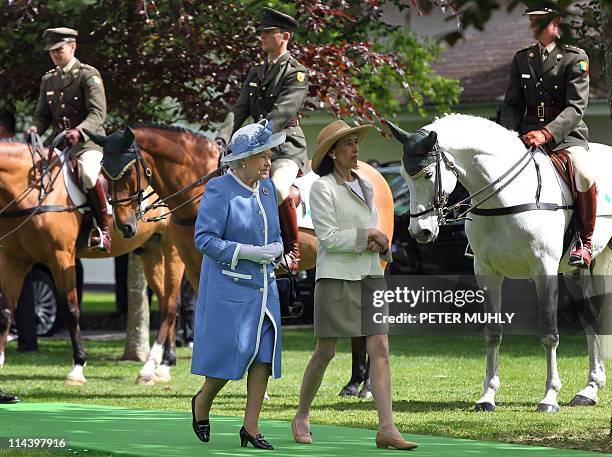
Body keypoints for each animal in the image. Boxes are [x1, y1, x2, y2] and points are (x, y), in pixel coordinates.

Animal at [0, 142, 184, 384]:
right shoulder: (14, 260)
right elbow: (6, 311)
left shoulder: (61, 258)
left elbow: (70, 310)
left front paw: (77, 367)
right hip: (150, 251)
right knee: (165, 302)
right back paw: (164, 364)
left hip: (173, 250)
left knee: (171, 305)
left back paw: (156, 366)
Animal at [390, 113, 608, 410]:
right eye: (402, 176)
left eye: (428, 174)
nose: (419, 231)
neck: (505, 197)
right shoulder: (487, 273)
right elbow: (492, 333)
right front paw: (487, 396)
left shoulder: (544, 270)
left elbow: (549, 333)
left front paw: (549, 397)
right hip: (578, 271)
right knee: (591, 318)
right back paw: (589, 390)